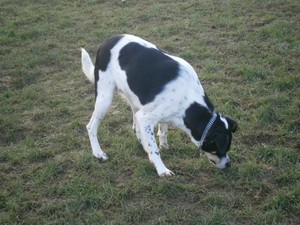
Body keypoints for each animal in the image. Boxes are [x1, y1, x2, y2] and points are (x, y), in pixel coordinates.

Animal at [81, 34, 238, 177]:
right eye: (218, 149)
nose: (229, 164)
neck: (188, 104)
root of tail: (105, 42)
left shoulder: (158, 117)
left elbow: (162, 132)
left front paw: (162, 146)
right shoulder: (146, 118)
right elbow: (154, 148)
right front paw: (161, 169)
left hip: (134, 99)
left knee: (135, 125)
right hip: (105, 98)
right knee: (91, 126)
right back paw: (98, 153)